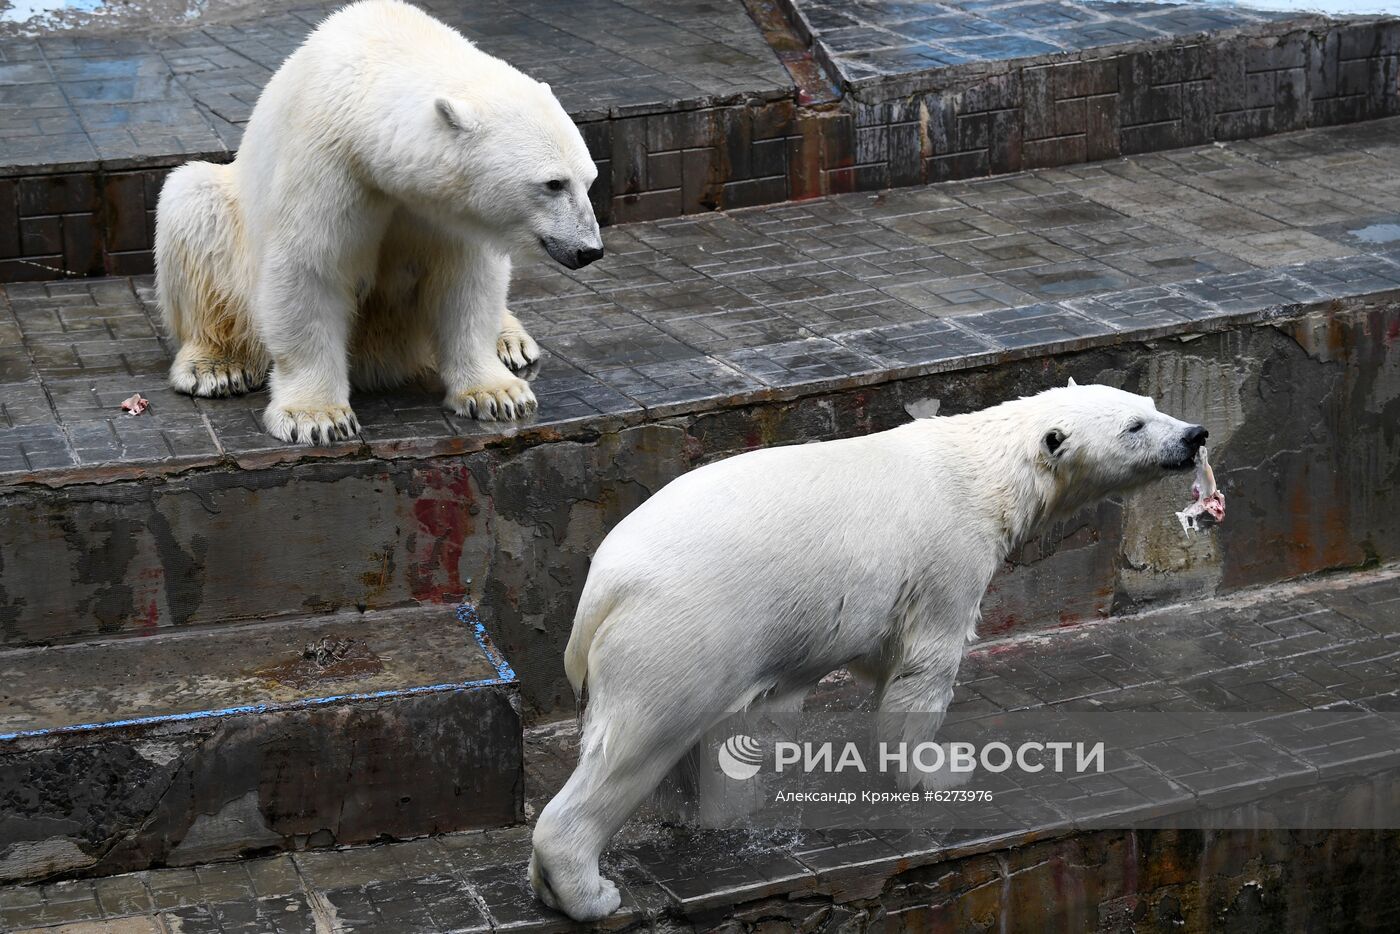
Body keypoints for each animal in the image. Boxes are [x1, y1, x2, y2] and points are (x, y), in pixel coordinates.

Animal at [154, 0, 602, 445]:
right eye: (553, 183)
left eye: (589, 180)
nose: (590, 250)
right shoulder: (327, 164)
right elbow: (310, 270)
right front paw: (316, 416)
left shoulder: (450, 210)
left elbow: (466, 279)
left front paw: (497, 393)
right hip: (232, 235)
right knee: (191, 200)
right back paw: (215, 366)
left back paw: (511, 342)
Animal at [529, 380, 1209, 918]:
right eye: (1134, 426)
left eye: (1149, 405)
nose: (1196, 435)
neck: (984, 471)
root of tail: (600, 591)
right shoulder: (947, 554)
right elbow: (924, 666)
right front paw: (940, 768)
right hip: (683, 629)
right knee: (641, 741)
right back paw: (587, 891)